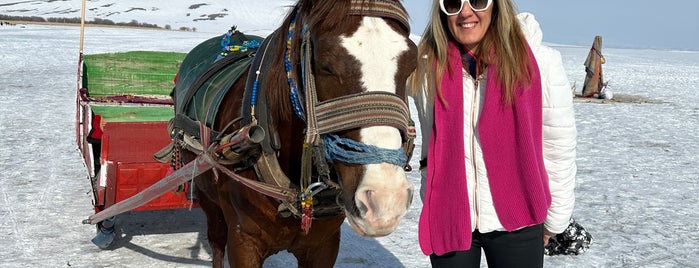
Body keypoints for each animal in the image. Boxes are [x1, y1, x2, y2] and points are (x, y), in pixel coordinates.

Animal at [170, 1, 418, 266]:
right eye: (325, 64)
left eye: (412, 64)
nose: (385, 199)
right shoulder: (243, 242)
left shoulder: (324, 245)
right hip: (209, 199)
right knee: (216, 242)